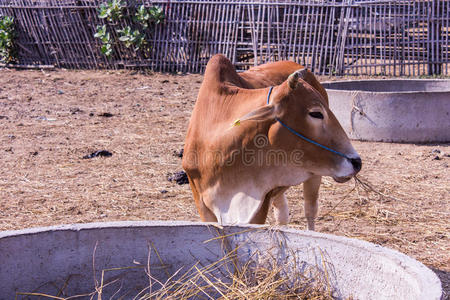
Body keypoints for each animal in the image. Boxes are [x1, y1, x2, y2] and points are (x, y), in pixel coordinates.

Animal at [181, 54, 360, 230]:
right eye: (316, 113)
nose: (357, 162)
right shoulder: (202, 202)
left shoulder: (260, 203)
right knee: (282, 215)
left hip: (315, 174)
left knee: (310, 211)